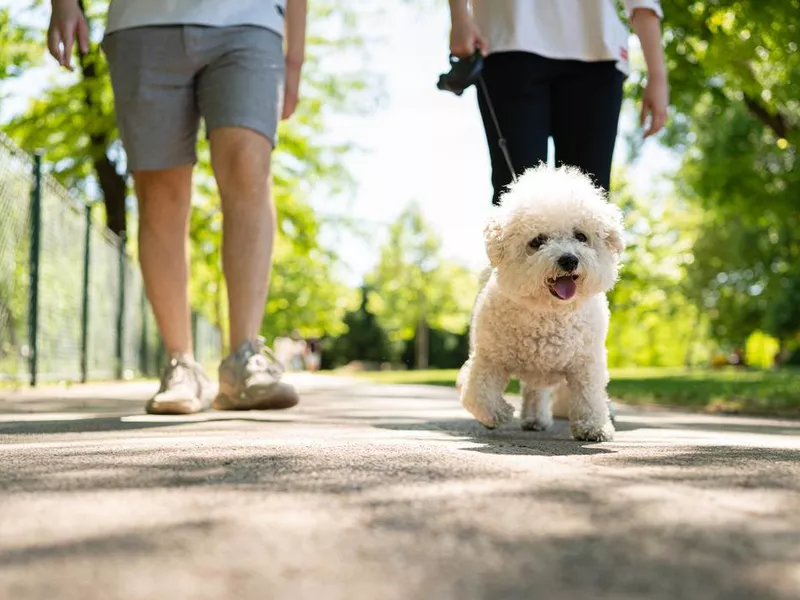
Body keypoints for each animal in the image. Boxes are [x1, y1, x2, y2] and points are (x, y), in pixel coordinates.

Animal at [456, 164, 624, 440]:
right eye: (537, 241)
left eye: (580, 236)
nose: (569, 260)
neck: (548, 312)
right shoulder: (488, 358)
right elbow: (476, 394)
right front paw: (498, 413)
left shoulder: (587, 363)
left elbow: (589, 396)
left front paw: (593, 426)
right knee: (531, 391)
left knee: (537, 392)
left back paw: (536, 418)